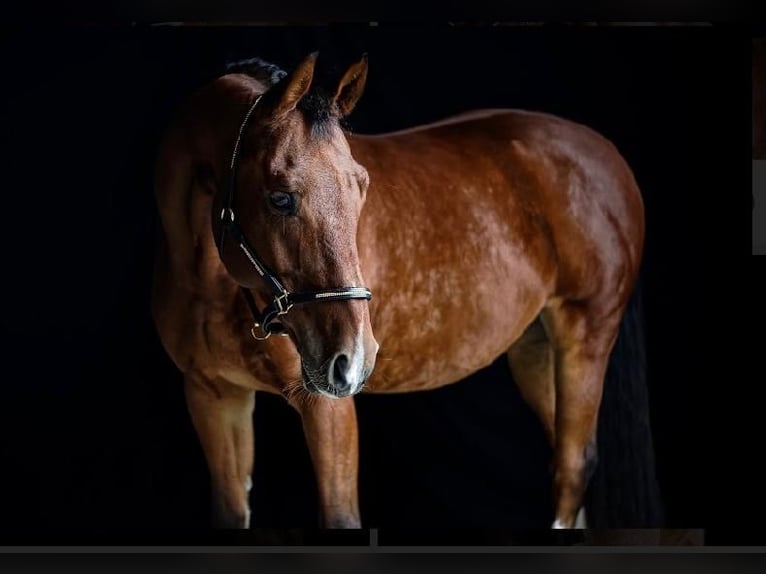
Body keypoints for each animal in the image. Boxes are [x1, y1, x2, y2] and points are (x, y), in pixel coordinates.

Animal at [152, 53, 660, 532]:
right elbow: (231, 512)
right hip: (535, 350)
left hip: (586, 335)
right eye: (280, 198)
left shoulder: (327, 407)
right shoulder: (215, 396)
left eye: (361, 187)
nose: (354, 358)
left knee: (574, 466)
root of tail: (606, 152)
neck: (210, 282)